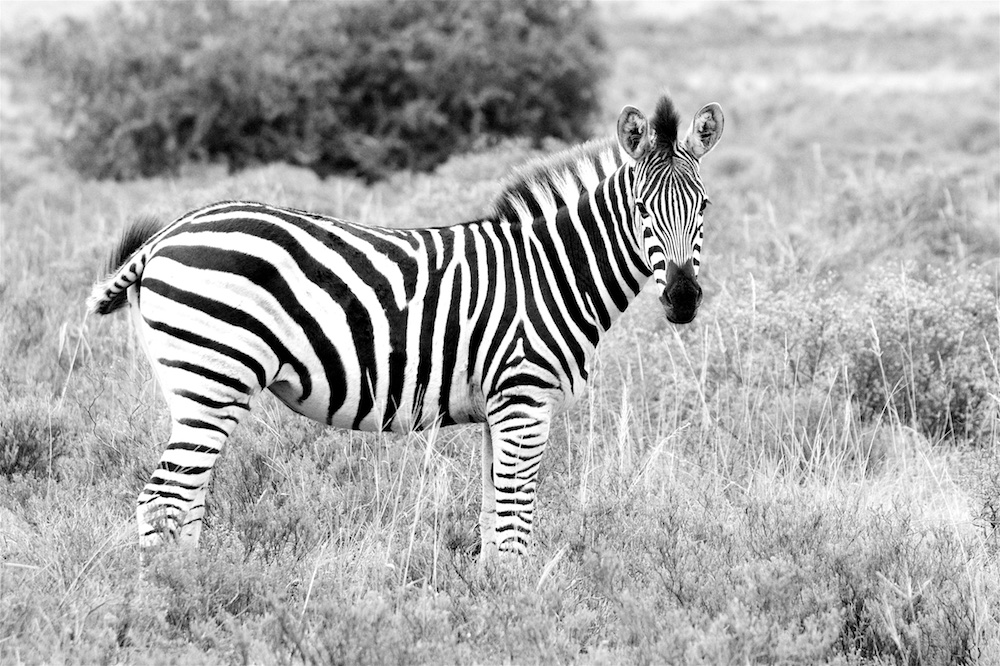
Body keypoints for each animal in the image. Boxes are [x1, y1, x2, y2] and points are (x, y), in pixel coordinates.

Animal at [88, 93, 728, 556]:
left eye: (704, 207)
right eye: (641, 209)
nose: (682, 300)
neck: (552, 271)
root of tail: (166, 235)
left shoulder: (500, 406)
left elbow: (494, 516)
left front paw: (492, 599)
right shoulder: (524, 398)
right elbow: (516, 518)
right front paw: (518, 610)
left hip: (197, 387)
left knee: (185, 501)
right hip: (213, 378)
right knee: (164, 499)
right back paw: (173, 598)